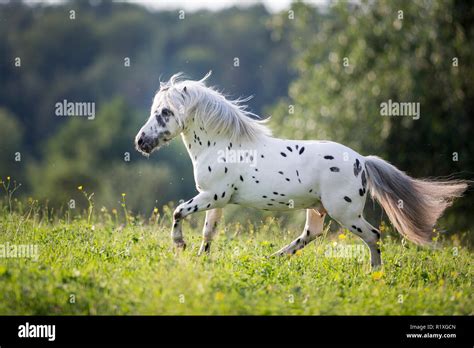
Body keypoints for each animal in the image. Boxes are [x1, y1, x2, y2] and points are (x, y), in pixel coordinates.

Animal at [134, 71, 466, 270]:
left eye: (165, 112)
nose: (140, 142)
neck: (222, 144)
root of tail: (362, 160)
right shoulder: (215, 199)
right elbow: (208, 231)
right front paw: (201, 260)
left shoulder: (212, 195)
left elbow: (178, 212)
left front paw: (179, 245)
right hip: (317, 209)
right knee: (311, 234)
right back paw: (274, 258)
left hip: (345, 213)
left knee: (373, 235)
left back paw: (374, 273)